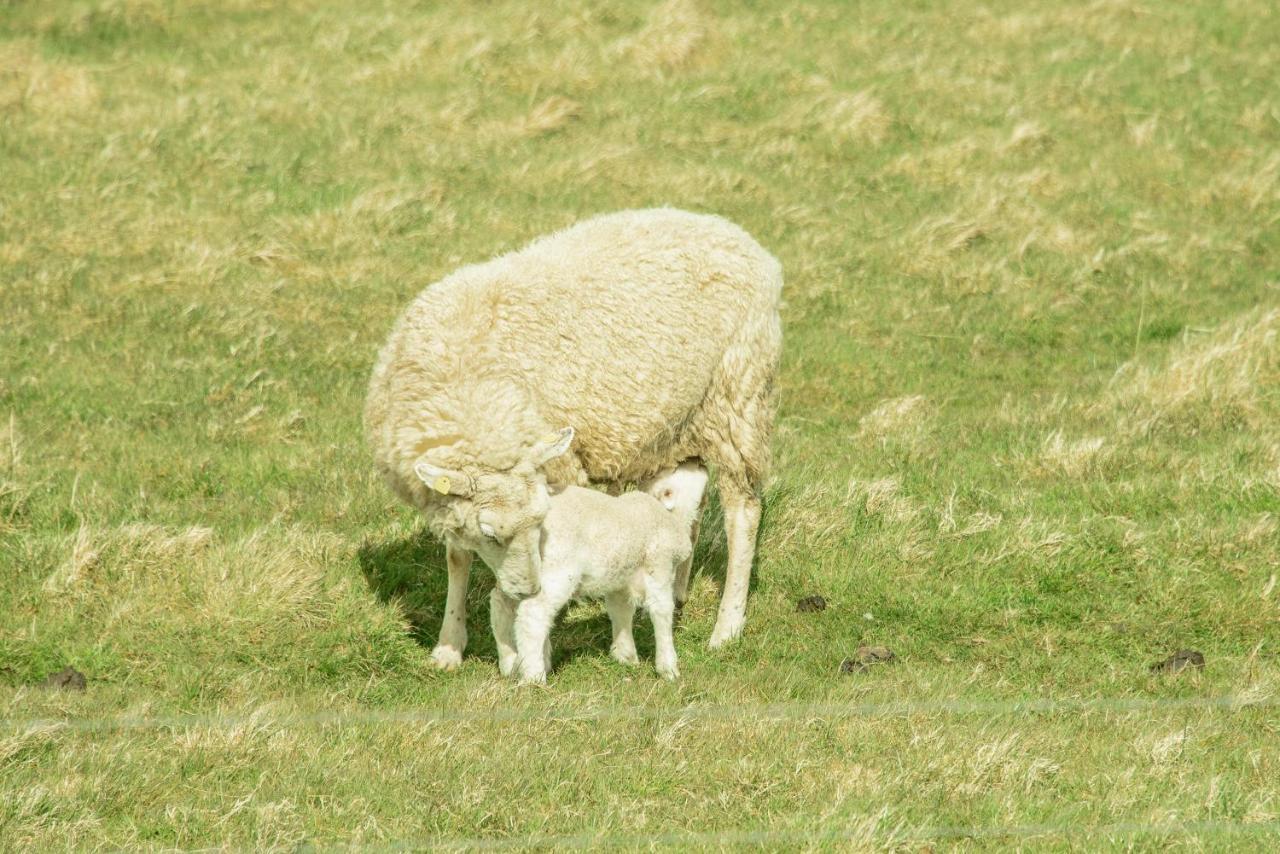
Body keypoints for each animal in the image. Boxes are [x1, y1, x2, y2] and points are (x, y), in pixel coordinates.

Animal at [488, 463, 711, 686]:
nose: (701, 464)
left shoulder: (620, 579)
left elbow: (621, 611)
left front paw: (625, 656)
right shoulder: (659, 569)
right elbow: (662, 613)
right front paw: (668, 668)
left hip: (518, 569)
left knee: (501, 603)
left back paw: (509, 662)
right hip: (557, 571)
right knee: (533, 615)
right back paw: (534, 676)